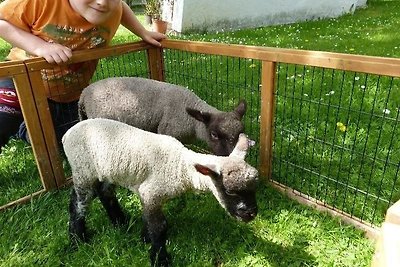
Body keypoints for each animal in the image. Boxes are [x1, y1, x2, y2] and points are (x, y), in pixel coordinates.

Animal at [61, 119, 256, 267]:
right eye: (229, 191)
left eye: (255, 187)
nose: (251, 214)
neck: (180, 166)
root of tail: (67, 134)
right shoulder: (151, 193)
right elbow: (159, 226)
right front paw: (159, 259)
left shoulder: (149, 195)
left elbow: (149, 220)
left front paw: (144, 238)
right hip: (82, 169)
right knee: (78, 203)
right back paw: (77, 240)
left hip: (105, 170)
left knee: (104, 192)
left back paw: (121, 222)